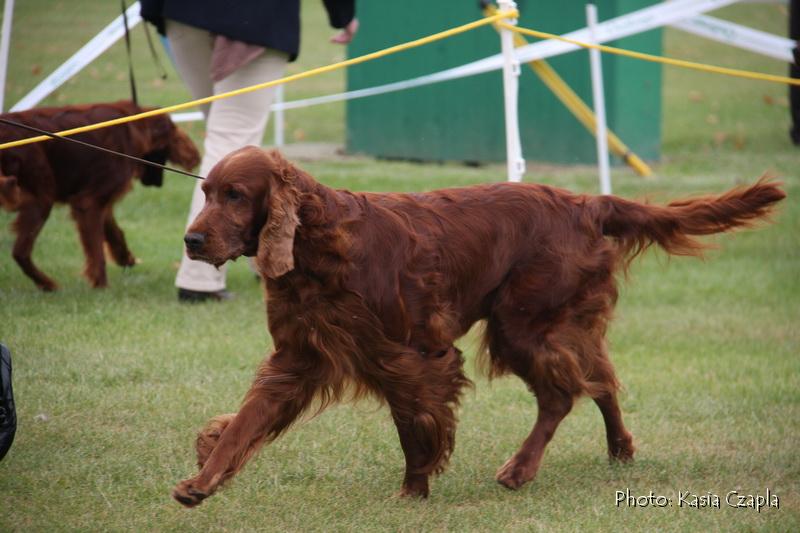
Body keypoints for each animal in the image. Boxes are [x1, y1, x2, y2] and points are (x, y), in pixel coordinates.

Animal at [0, 100, 199, 290]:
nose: (194, 157)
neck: (132, 128)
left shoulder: (99, 201)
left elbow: (114, 232)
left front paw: (125, 258)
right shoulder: (89, 202)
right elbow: (97, 250)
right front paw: (101, 285)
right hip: (41, 198)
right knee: (20, 252)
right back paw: (47, 284)